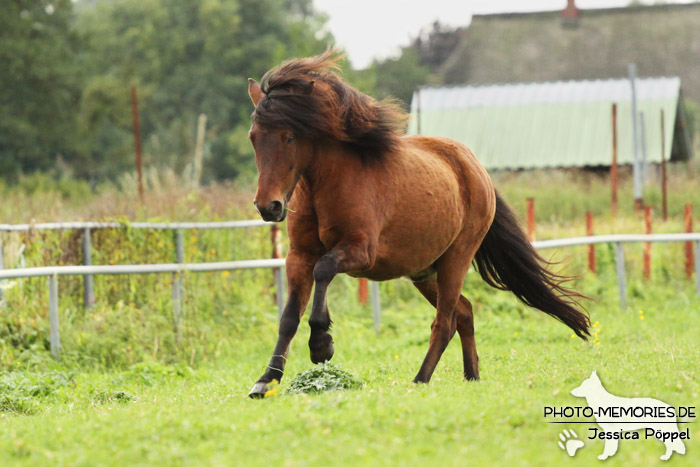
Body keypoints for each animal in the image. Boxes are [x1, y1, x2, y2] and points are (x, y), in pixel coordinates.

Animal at [243, 51, 588, 398]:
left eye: (290, 136)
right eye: (253, 137)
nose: (268, 206)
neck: (330, 182)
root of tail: (475, 168)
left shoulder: (361, 250)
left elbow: (324, 269)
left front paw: (321, 345)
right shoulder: (299, 256)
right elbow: (289, 316)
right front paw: (266, 380)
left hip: (456, 260)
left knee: (445, 322)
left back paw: (420, 379)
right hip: (424, 272)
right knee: (464, 313)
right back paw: (472, 375)